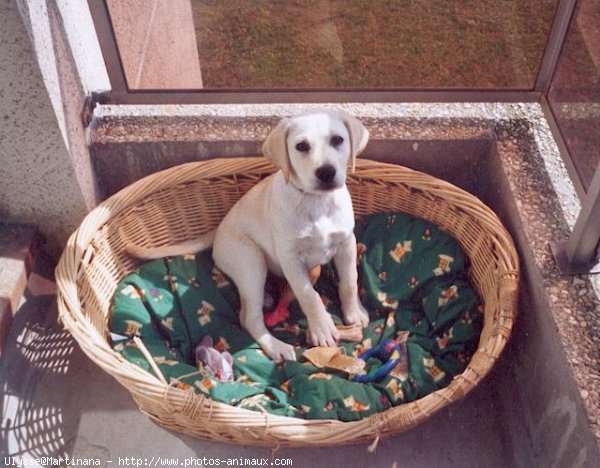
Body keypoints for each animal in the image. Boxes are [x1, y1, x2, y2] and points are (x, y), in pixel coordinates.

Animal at [127, 110, 370, 362]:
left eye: (337, 140)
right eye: (301, 146)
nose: (326, 172)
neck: (316, 202)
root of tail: (219, 230)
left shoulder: (346, 243)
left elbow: (349, 280)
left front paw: (355, 312)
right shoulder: (290, 258)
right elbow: (308, 294)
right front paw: (322, 328)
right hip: (251, 260)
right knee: (248, 318)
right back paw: (277, 346)